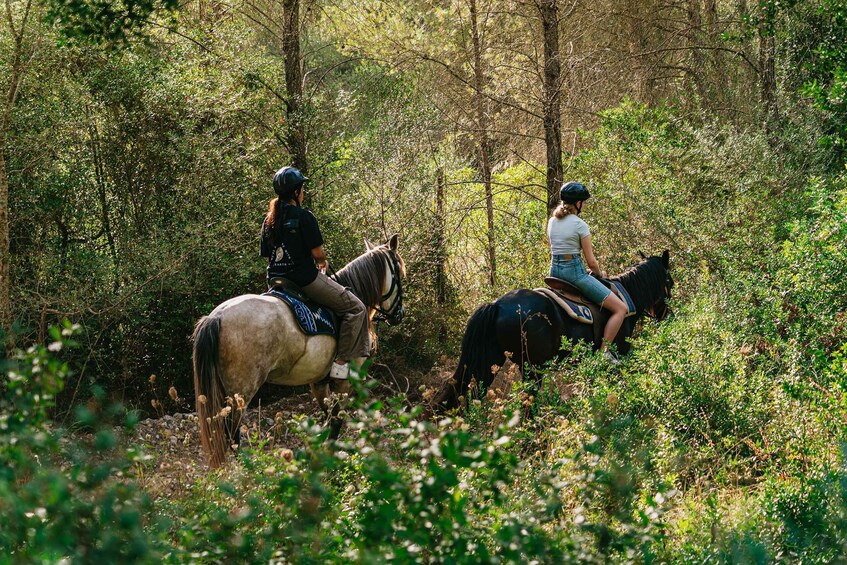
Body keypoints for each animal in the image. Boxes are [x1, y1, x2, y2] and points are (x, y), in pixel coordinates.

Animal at [438, 253, 676, 408]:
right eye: (670, 282)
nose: (669, 316)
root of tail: (496, 304)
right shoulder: (623, 349)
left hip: (490, 362)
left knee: (471, 393)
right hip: (532, 368)